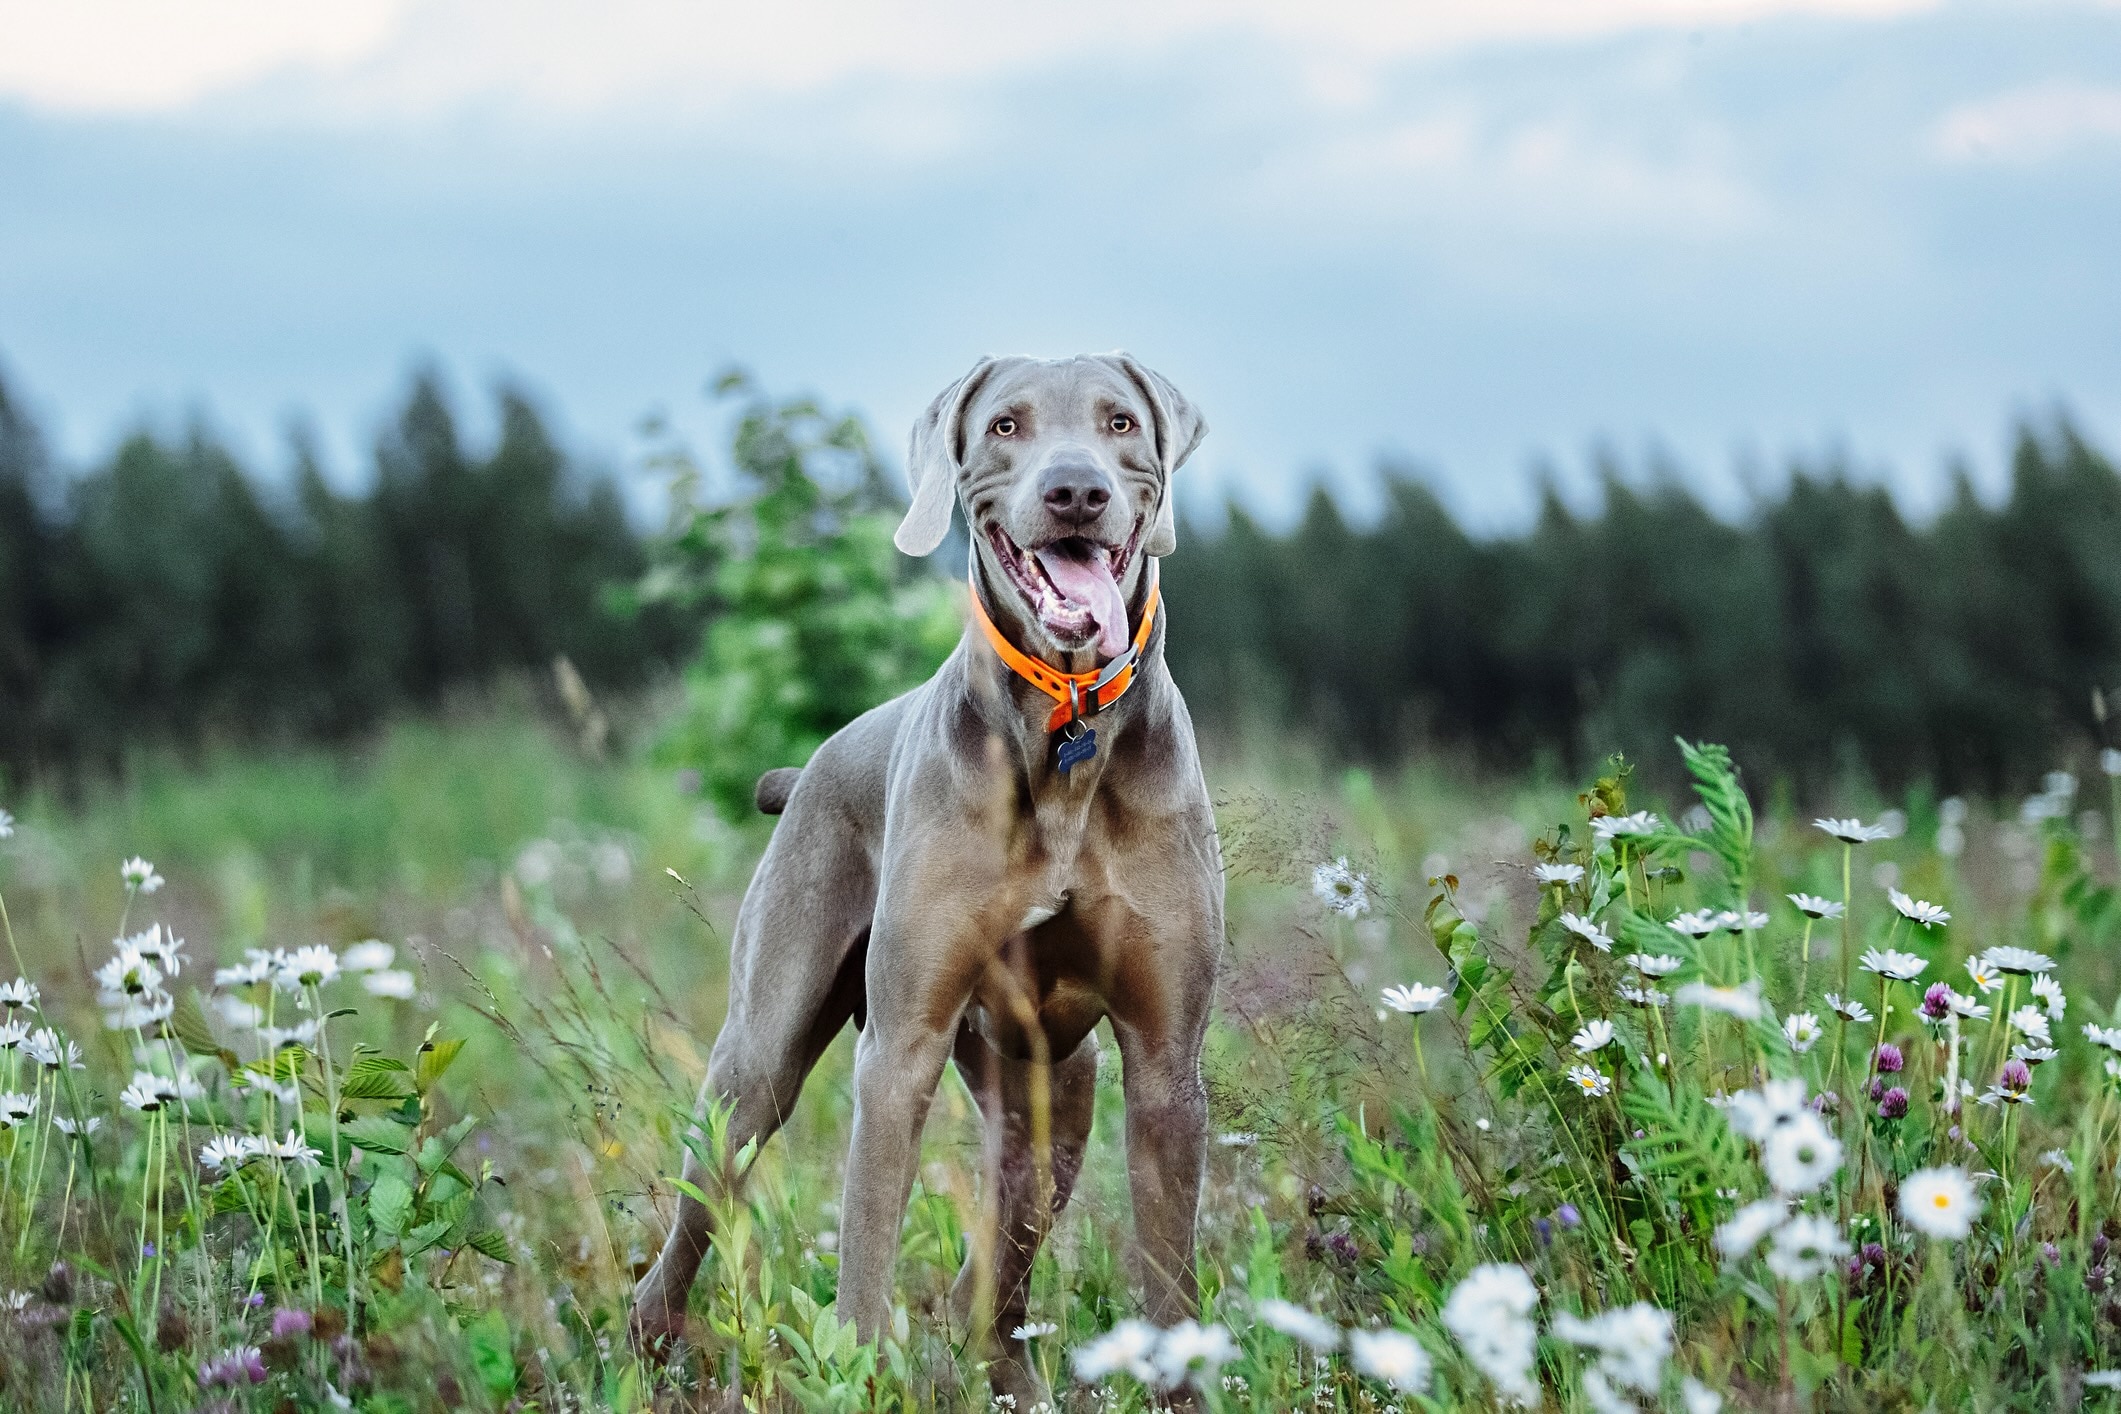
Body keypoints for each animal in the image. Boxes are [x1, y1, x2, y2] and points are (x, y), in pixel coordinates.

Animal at [623, 356, 1230, 1407]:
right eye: (1005, 426)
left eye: (1119, 423)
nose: (1076, 492)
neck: (1065, 728)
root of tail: (807, 767)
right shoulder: (899, 1047)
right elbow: (865, 1257)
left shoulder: (1163, 1065)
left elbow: (1168, 1286)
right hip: (757, 1062)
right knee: (693, 1225)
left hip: (1052, 1093)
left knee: (994, 1271)